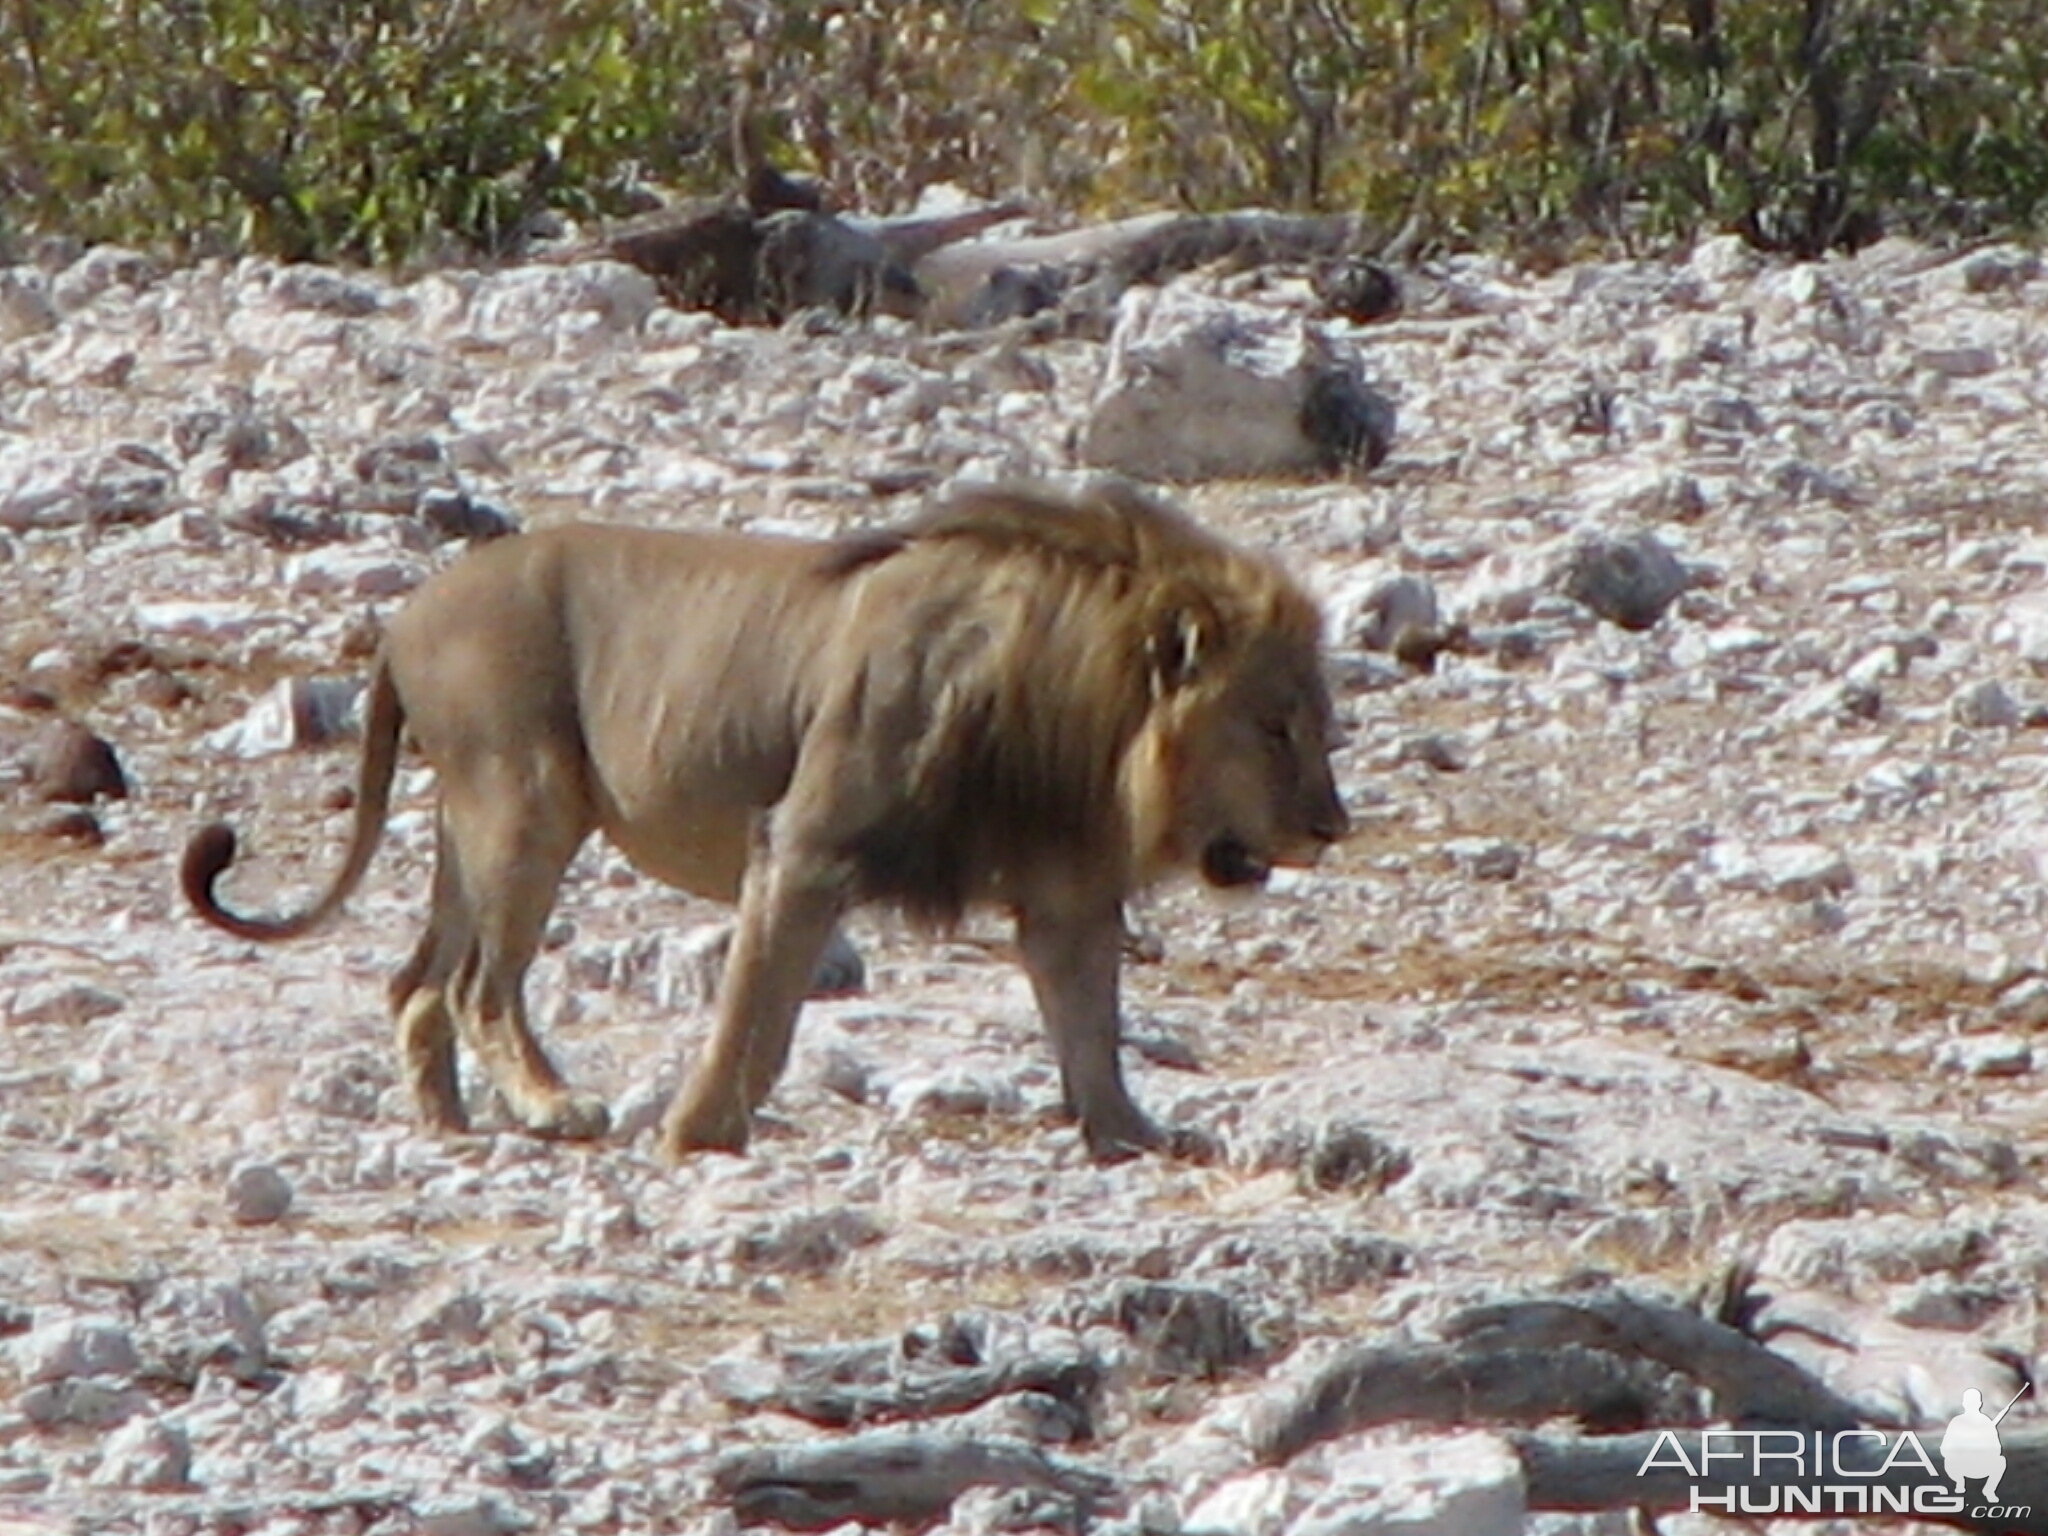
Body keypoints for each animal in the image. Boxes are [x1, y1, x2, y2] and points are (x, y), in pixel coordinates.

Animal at [188, 481, 1343, 1163]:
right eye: (1273, 726)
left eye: (1317, 723)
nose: (1330, 826)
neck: (1075, 705)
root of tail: (404, 617)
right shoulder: (801, 847)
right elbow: (757, 1012)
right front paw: (697, 1132)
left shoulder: (1066, 890)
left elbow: (1090, 1025)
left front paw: (1131, 1134)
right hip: (525, 800)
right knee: (479, 984)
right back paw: (552, 1108)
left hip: (466, 826)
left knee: (417, 984)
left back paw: (450, 1122)